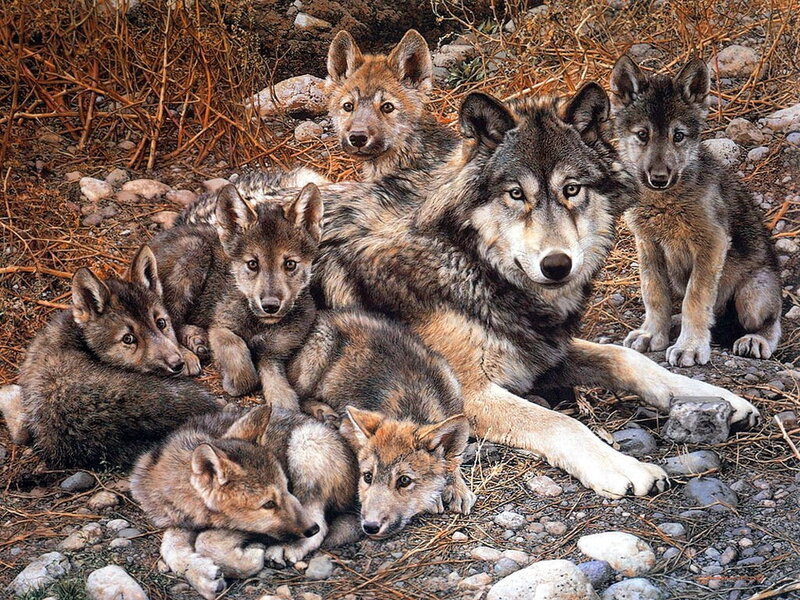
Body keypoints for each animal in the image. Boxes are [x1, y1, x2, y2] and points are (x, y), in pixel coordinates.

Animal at [130, 404, 357, 599]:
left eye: (287, 487)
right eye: (268, 504)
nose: (311, 529)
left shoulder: (245, 527)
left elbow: (205, 541)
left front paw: (247, 560)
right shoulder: (180, 521)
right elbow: (169, 547)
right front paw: (201, 575)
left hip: (306, 443)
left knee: (323, 524)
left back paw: (289, 547)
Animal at [150, 183, 322, 404]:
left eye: (290, 264)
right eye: (252, 264)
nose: (270, 306)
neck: (259, 323)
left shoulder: (273, 353)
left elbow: (280, 388)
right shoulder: (221, 327)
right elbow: (241, 362)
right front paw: (233, 383)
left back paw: (196, 340)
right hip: (194, 251)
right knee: (169, 317)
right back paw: (188, 354)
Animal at [287, 309, 473, 539]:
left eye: (404, 480)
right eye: (367, 476)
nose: (370, 526)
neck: (414, 403)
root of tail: (323, 314)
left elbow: (453, 461)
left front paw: (458, 488)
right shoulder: (349, 427)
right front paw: (436, 498)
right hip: (316, 358)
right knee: (299, 395)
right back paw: (324, 412)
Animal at [306, 84, 760, 498]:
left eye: (571, 189)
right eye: (516, 193)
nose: (557, 265)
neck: (468, 260)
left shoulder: (543, 350)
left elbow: (630, 359)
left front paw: (715, 398)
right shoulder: (467, 394)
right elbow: (563, 422)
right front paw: (622, 466)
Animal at [610, 56, 782, 366]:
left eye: (678, 136)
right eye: (642, 135)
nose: (659, 178)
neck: (665, 202)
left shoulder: (712, 243)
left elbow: (696, 299)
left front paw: (689, 346)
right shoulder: (648, 244)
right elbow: (654, 294)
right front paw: (652, 334)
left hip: (753, 295)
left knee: (771, 323)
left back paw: (755, 340)